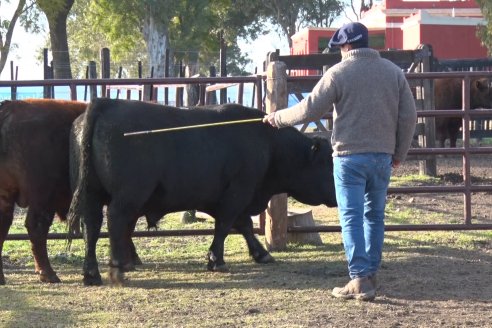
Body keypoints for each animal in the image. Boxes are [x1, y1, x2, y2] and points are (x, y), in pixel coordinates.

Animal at [68, 98, 338, 286]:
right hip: (129, 195)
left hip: (92, 194)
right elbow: (227, 225)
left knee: (91, 226)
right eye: (328, 163)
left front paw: (261, 254)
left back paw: (92, 273)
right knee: (115, 221)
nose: (338, 196)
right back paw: (118, 269)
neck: (268, 144)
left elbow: (243, 226)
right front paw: (216, 260)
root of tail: (106, 103)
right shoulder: (238, 191)